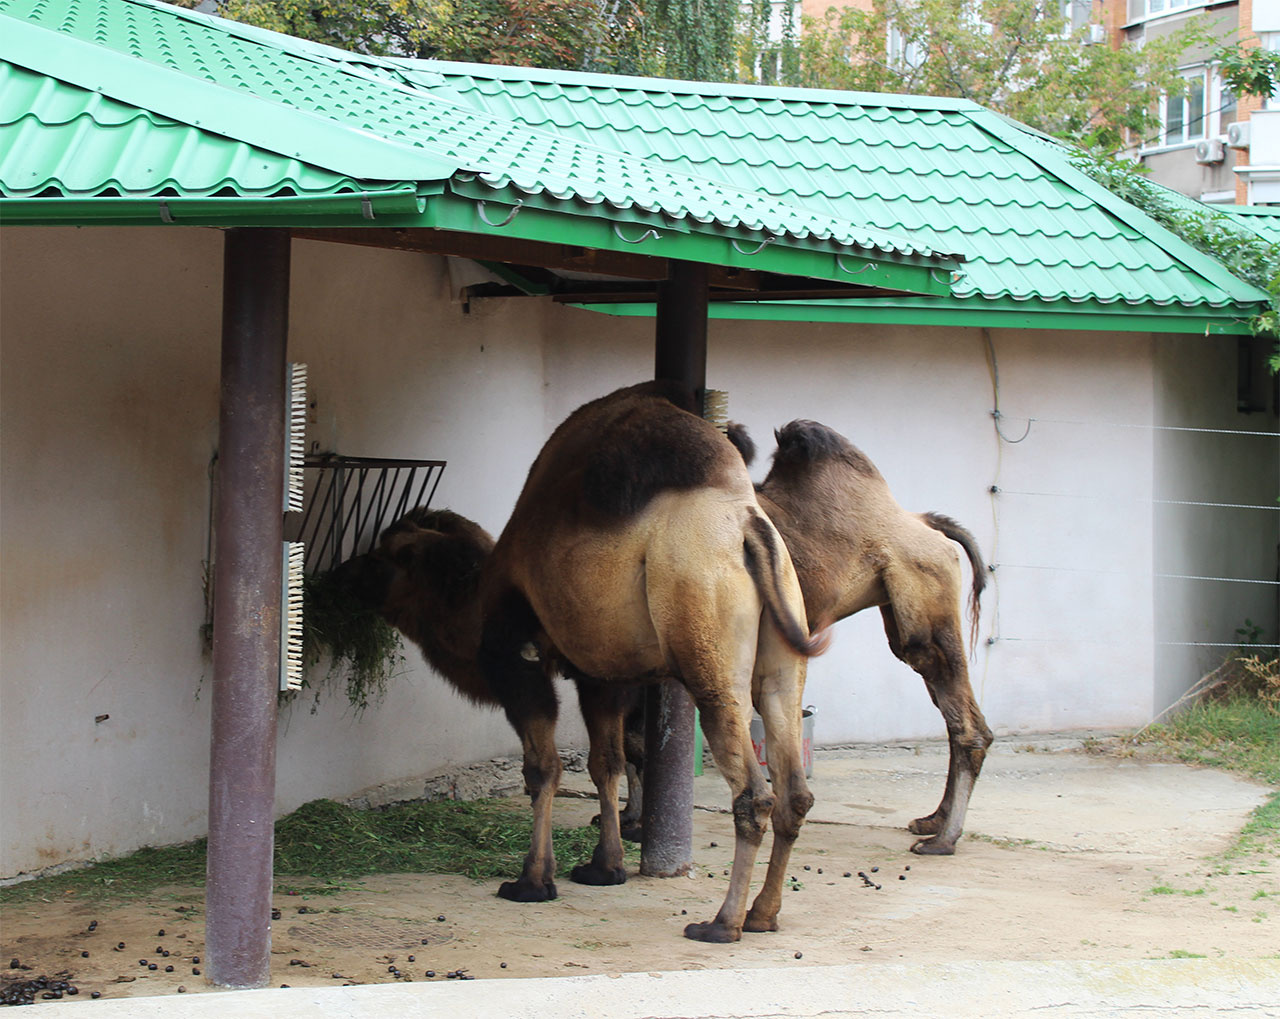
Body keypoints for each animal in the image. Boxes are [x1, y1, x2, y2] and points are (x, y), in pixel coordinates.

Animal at [331, 381, 826, 942]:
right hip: (782, 655)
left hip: (706, 643)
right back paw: (764, 914)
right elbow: (604, 762)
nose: (337, 576)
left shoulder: (515, 660)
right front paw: (603, 867)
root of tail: (747, 527)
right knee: (793, 788)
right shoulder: (600, 673)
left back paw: (721, 923)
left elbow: (542, 768)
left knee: (753, 794)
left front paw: (532, 879)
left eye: (382, 557)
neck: (477, 595)